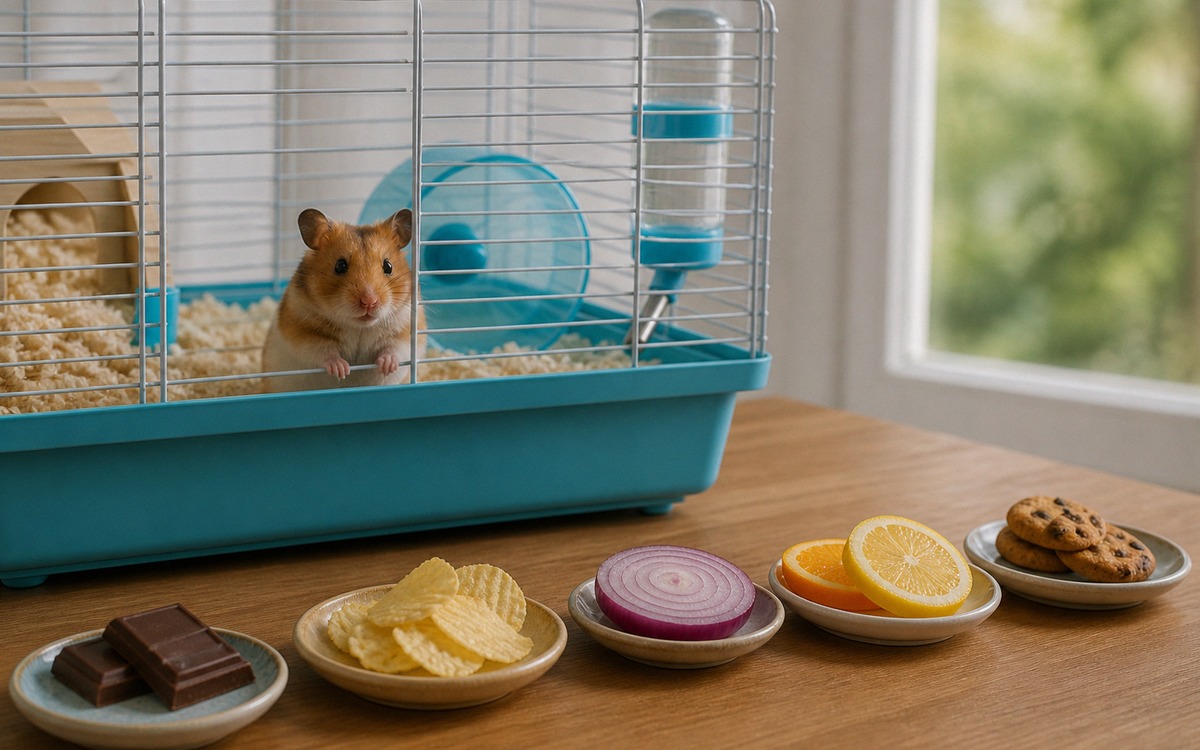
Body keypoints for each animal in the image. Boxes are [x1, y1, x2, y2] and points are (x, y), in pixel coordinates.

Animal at [261, 208, 425, 393]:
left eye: (388, 266)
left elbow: (395, 349)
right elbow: (324, 352)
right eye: (340, 265)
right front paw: (342, 370)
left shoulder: (404, 330)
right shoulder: (304, 332)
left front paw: (387, 366)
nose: (369, 302)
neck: (359, 327)